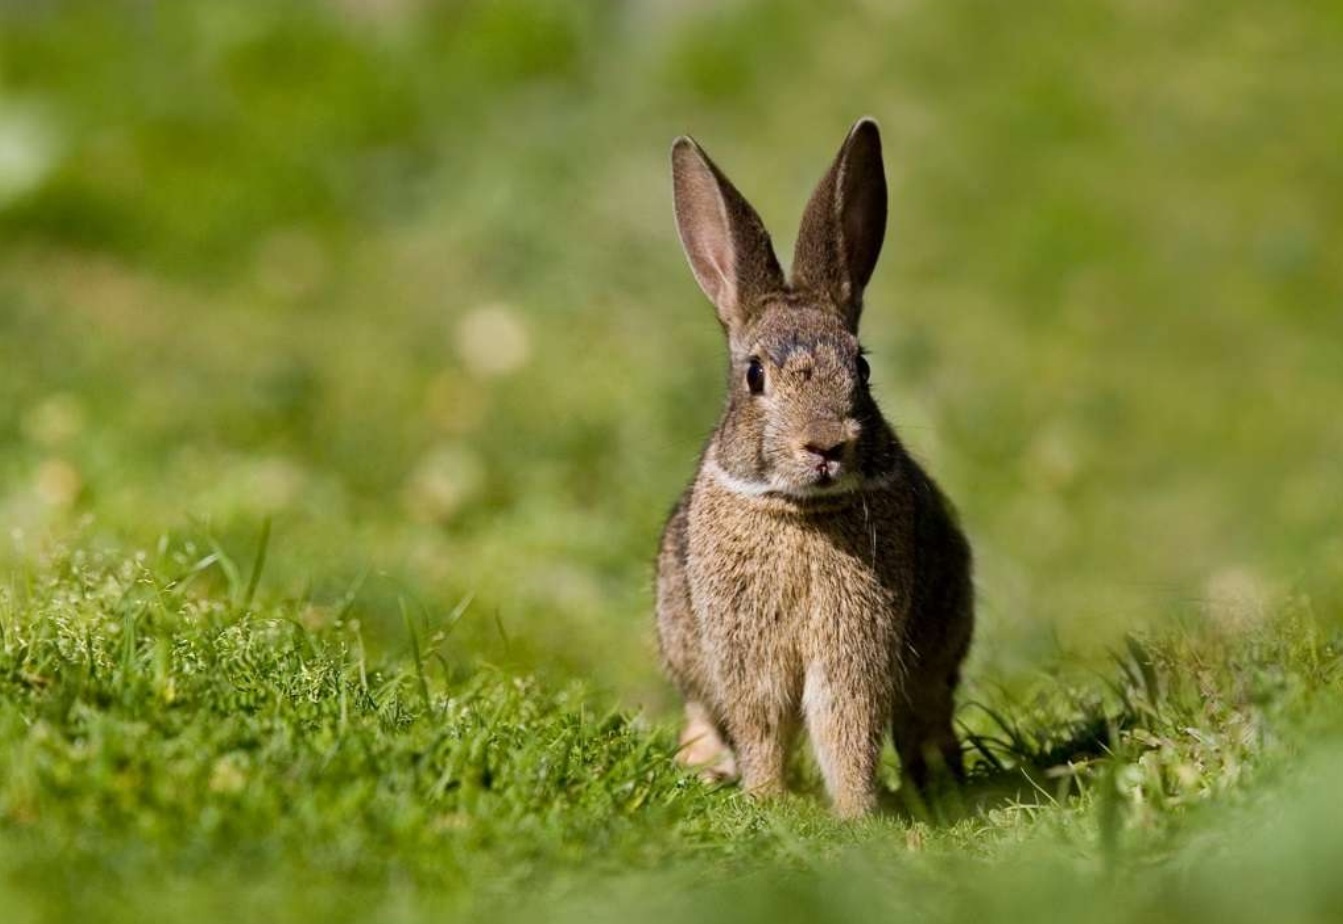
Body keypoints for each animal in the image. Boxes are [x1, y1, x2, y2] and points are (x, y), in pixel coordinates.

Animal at [655, 117, 972, 816]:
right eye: (754, 375)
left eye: (862, 367)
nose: (825, 445)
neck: (802, 512)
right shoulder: (744, 652)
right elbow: (763, 723)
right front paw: (767, 799)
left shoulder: (857, 647)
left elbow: (846, 723)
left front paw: (856, 814)